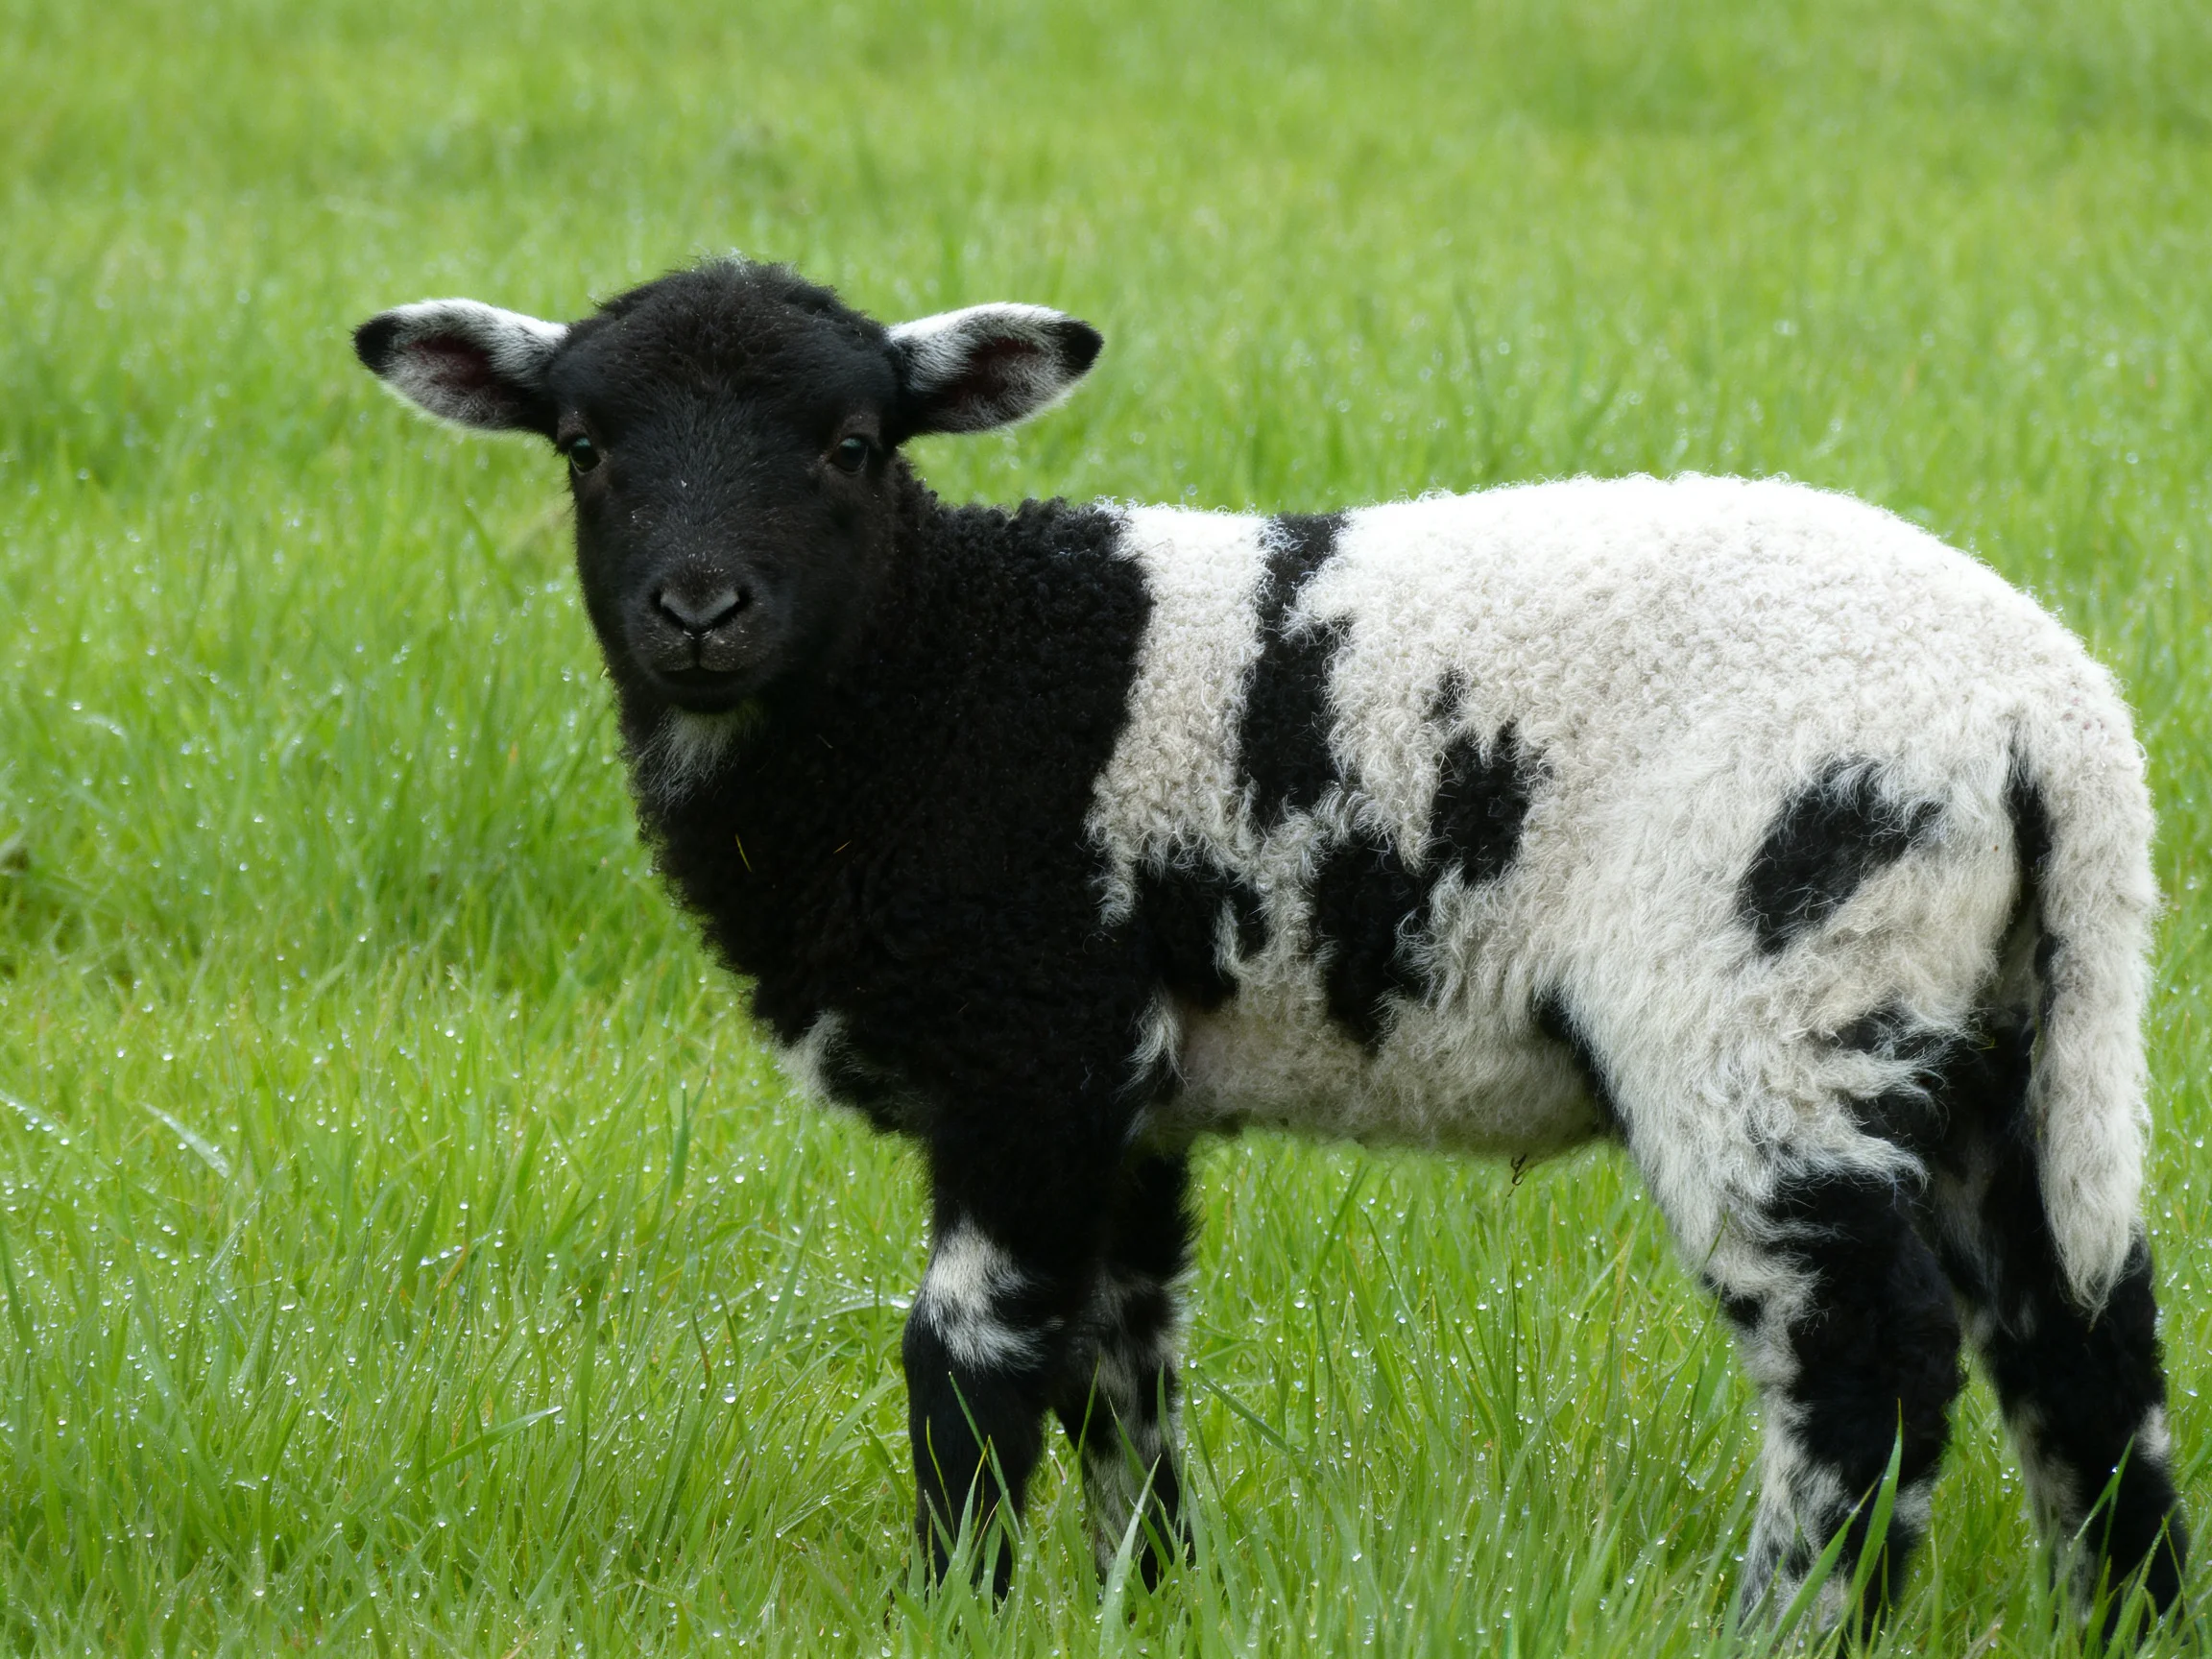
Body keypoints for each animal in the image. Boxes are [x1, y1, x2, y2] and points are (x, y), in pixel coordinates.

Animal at [354, 258, 2187, 1629]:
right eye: (581, 445)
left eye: (856, 442)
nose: (698, 610)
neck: (930, 683)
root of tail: (2049, 710)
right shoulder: (1127, 1093)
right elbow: (1123, 1356)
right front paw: (1144, 1599)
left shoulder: (1026, 1047)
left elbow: (968, 1352)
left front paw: (953, 1604)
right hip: (1984, 1015)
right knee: (2078, 1335)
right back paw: (2124, 1618)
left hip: (1765, 989)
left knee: (1865, 1351)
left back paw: (1783, 1620)